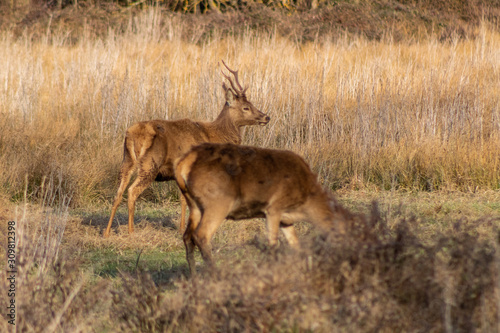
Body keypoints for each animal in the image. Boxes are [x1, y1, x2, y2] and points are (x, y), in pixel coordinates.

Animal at [102, 61, 270, 237]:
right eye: (246, 107)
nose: (266, 117)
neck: (214, 135)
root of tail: (133, 134)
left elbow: (184, 199)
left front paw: (182, 227)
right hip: (150, 163)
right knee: (132, 191)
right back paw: (131, 231)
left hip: (126, 160)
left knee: (118, 193)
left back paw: (107, 232)